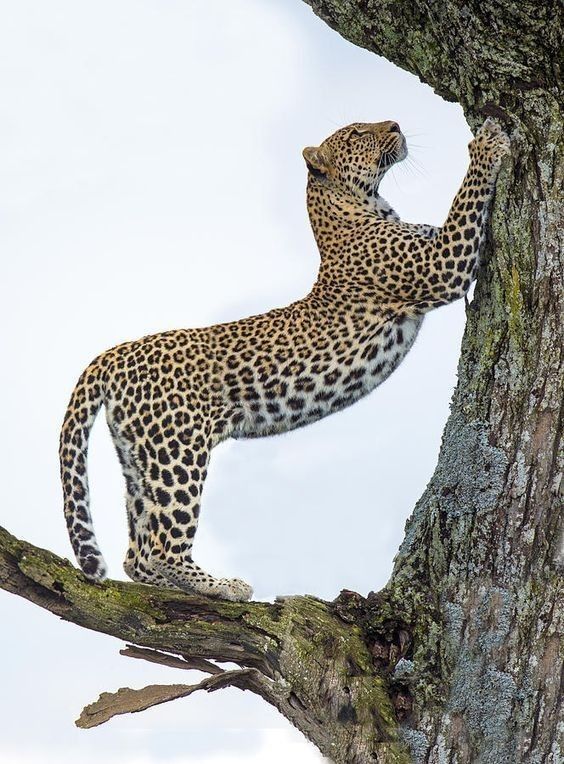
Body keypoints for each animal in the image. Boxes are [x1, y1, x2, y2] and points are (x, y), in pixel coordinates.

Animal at [60, 117, 510, 601]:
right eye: (356, 133)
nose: (394, 123)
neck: (359, 208)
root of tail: (114, 353)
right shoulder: (444, 263)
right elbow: (465, 199)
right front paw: (487, 143)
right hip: (177, 451)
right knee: (161, 547)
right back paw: (223, 586)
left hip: (139, 459)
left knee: (136, 553)